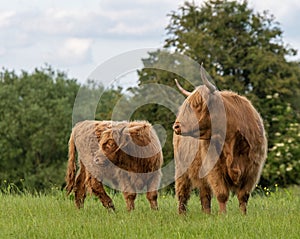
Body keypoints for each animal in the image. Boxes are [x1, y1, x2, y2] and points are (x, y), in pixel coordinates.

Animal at [173, 66, 268, 215]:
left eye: (198, 105)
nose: (176, 126)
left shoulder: (252, 169)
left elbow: (243, 196)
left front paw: (243, 215)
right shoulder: (214, 168)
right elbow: (222, 193)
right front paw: (223, 216)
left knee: (205, 194)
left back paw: (207, 214)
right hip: (181, 168)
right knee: (182, 192)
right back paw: (182, 214)